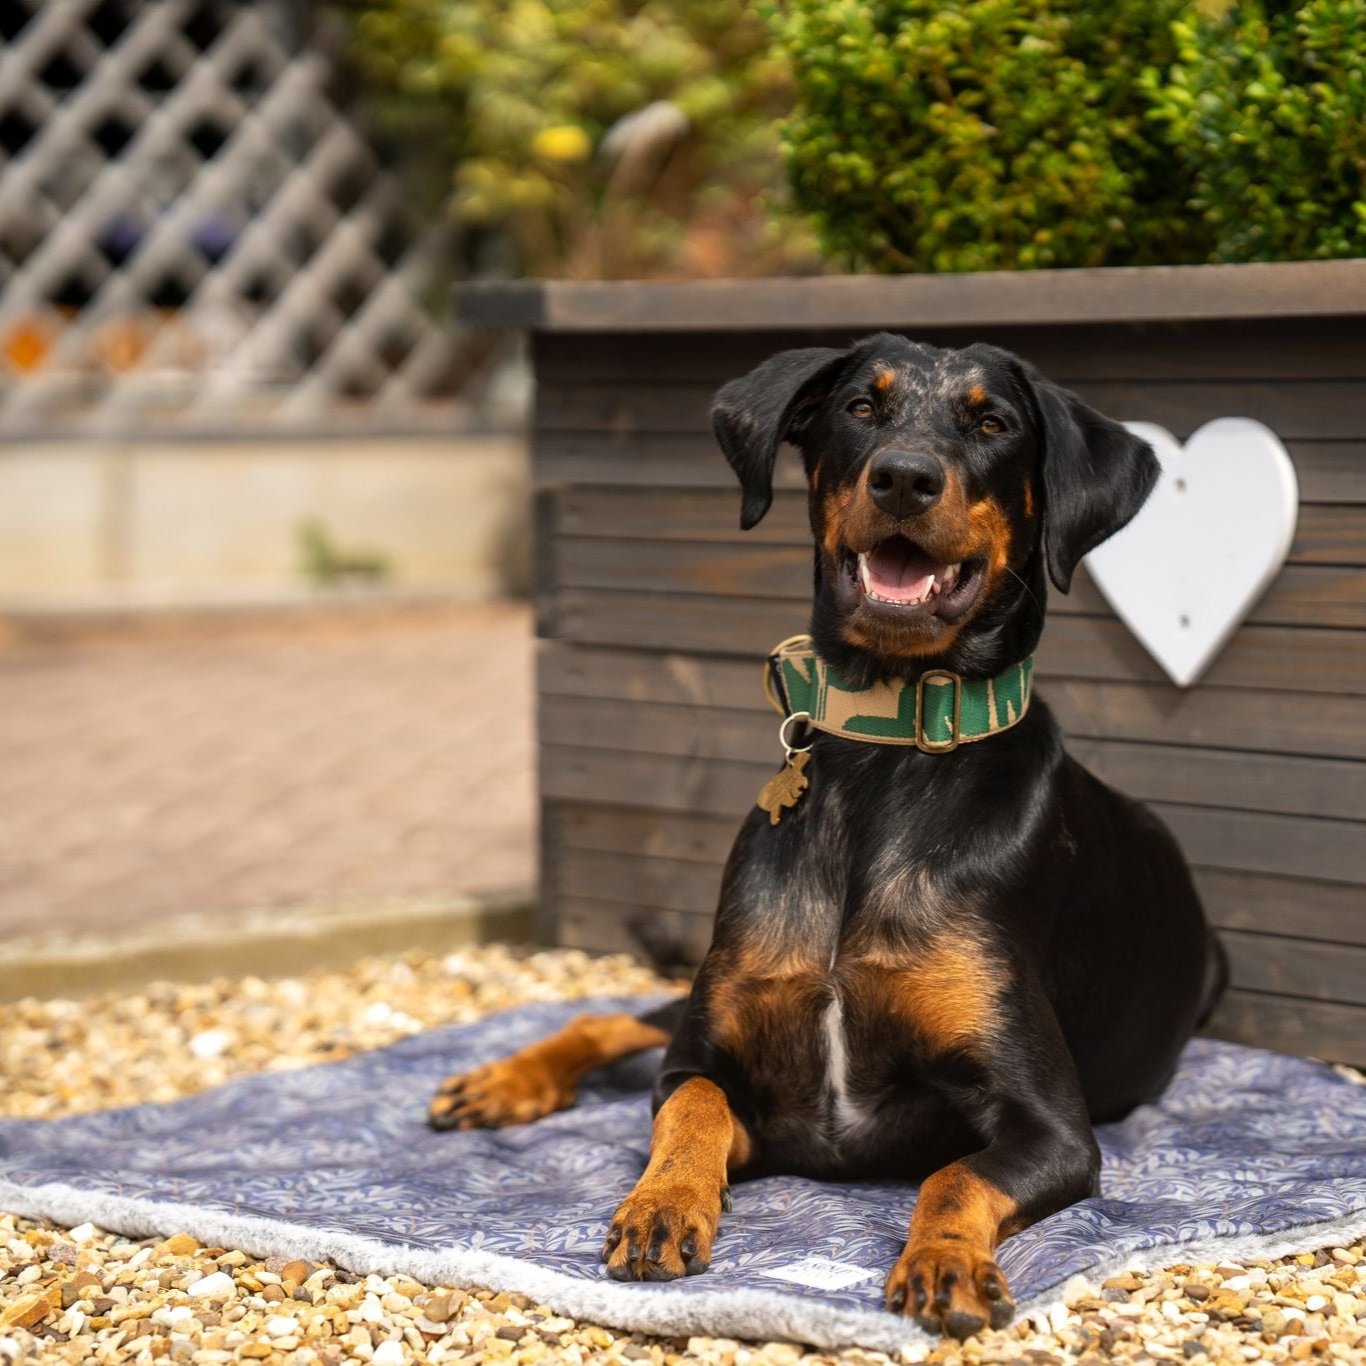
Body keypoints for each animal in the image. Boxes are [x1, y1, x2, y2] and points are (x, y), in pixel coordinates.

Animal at [428, 336, 1229, 1338]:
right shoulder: (716, 1062)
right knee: (610, 1017)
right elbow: (689, 1104)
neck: (886, 762)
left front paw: (942, 1263)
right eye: (858, 408)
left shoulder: (1052, 1124)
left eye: (993, 422)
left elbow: (952, 1174)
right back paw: (502, 1083)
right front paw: (661, 1206)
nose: (904, 478)